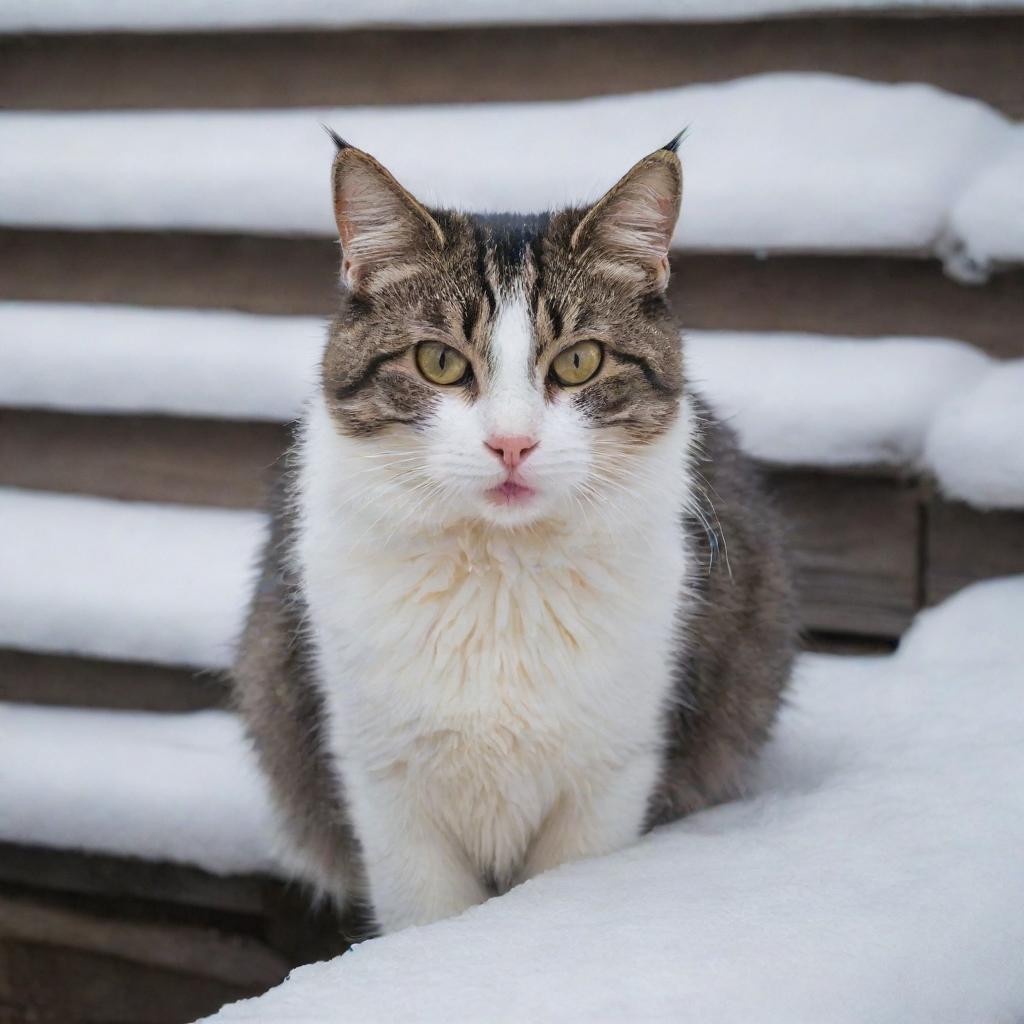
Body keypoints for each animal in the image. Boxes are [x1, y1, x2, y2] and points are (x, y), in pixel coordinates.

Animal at [235, 130, 794, 937]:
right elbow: (425, 918)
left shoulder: (610, 774)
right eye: (439, 361)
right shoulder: (386, 786)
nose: (511, 444)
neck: (499, 574)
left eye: (580, 360)